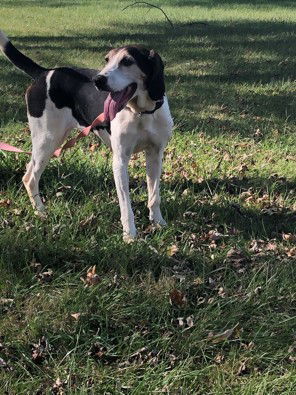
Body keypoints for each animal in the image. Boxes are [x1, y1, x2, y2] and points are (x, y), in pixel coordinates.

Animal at [0, 31, 173, 241]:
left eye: (127, 61)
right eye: (107, 60)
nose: (98, 80)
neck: (141, 113)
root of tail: (44, 73)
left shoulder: (155, 155)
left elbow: (154, 196)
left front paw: (158, 223)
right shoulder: (120, 160)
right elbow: (126, 205)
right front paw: (130, 235)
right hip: (47, 140)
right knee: (30, 177)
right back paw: (40, 212)